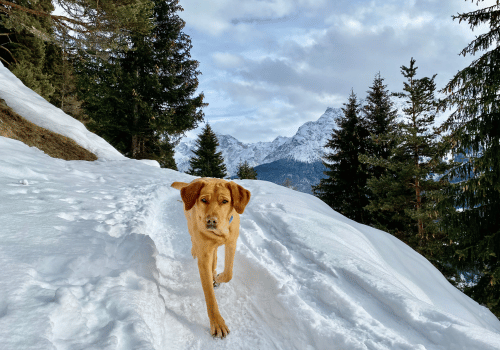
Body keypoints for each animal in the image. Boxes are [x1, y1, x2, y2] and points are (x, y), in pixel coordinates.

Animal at [171, 179, 250, 338]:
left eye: (225, 201)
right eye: (203, 200)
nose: (211, 221)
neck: (220, 233)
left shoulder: (231, 243)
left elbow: (229, 273)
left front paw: (218, 277)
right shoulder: (204, 257)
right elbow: (209, 295)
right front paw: (217, 323)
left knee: (215, 256)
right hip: (190, 224)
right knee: (193, 239)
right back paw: (195, 251)